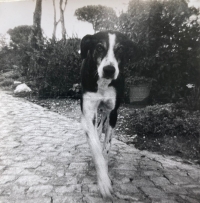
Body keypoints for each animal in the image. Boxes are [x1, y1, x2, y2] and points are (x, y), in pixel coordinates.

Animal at [79, 30, 136, 198]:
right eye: (99, 47)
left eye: (120, 49)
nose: (109, 70)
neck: (103, 84)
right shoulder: (88, 112)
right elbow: (96, 148)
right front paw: (103, 181)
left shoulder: (113, 112)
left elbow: (106, 147)